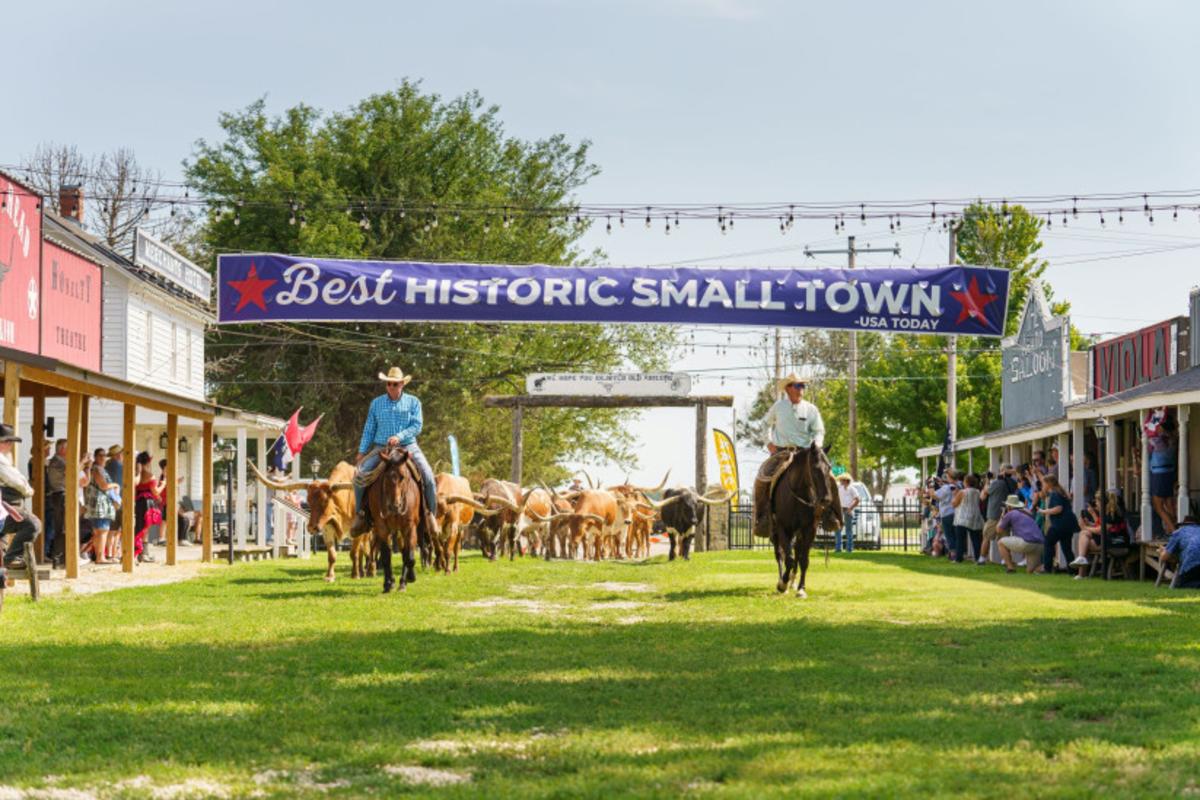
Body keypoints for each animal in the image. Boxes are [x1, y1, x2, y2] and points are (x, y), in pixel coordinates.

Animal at [360, 450, 422, 594]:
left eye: (403, 477)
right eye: (387, 477)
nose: (395, 506)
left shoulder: (409, 527)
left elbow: (409, 556)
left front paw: (410, 578)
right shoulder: (382, 527)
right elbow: (386, 557)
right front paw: (388, 584)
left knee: (405, 552)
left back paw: (404, 581)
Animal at [768, 448, 844, 597]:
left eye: (829, 468)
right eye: (815, 468)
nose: (827, 499)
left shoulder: (810, 529)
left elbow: (803, 560)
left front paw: (801, 589)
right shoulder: (782, 528)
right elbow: (788, 559)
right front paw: (782, 584)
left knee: (797, 551)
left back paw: (792, 581)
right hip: (777, 532)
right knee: (780, 554)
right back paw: (783, 581)